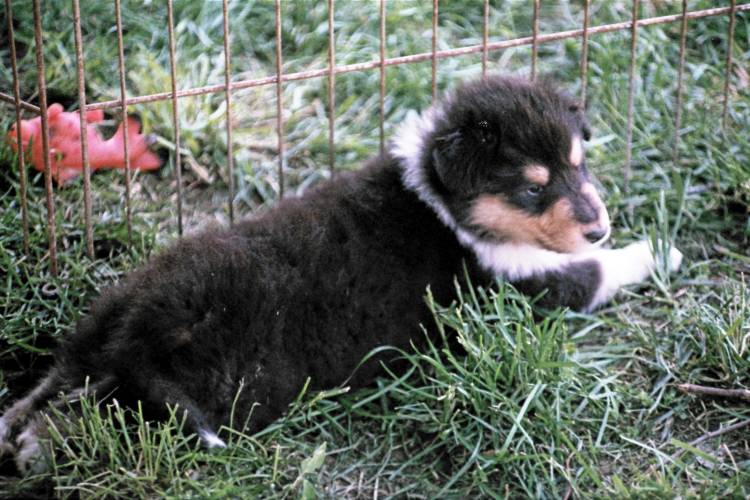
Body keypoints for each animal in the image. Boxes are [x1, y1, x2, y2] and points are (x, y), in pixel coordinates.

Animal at [0, 75, 680, 472]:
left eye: (579, 163)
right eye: (532, 188)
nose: (600, 225)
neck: (443, 201)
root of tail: (138, 331)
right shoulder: (519, 286)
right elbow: (594, 271)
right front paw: (659, 250)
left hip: (95, 333)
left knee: (52, 387)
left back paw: (14, 433)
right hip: (212, 384)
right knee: (100, 418)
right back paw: (37, 452)